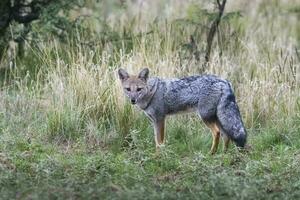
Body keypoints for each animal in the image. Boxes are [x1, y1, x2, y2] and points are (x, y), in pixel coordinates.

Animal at [118, 68, 247, 154]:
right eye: (128, 89)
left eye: (139, 89)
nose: (133, 100)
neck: (152, 92)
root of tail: (224, 81)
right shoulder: (154, 121)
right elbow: (156, 141)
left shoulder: (160, 119)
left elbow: (160, 141)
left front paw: (159, 156)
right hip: (217, 118)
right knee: (226, 135)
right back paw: (223, 155)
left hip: (205, 117)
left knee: (217, 133)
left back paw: (211, 153)